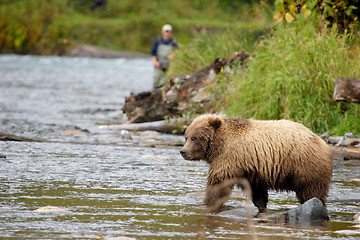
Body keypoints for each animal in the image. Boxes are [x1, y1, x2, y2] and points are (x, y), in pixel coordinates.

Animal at [180, 114, 334, 212]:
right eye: (186, 136)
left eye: (195, 138)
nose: (183, 151)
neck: (220, 145)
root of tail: (322, 142)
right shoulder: (251, 169)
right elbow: (257, 191)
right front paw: (261, 205)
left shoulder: (229, 158)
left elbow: (218, 183)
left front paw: (208, 202)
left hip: (305, 165)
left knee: (312, 192)